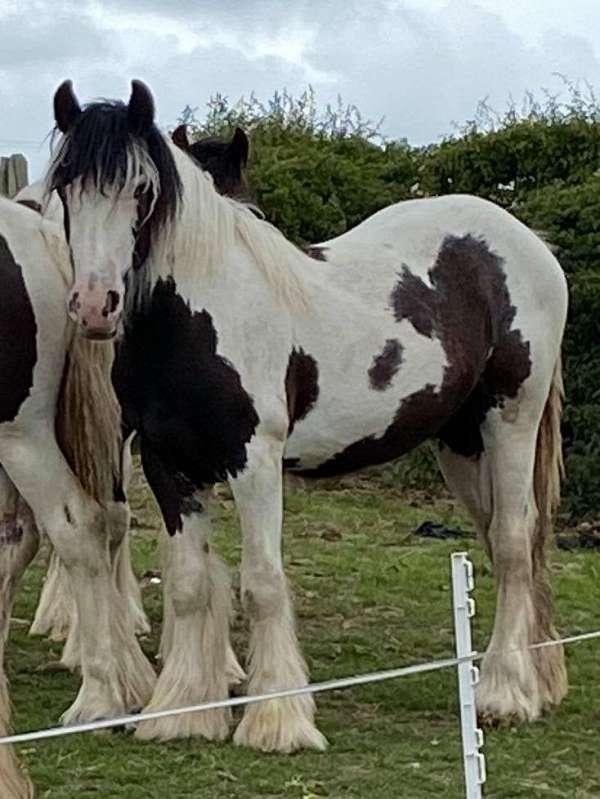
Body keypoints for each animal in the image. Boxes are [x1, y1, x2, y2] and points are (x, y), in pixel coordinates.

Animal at [47, 79, 568, 756]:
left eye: (141, 188)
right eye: (66, 187)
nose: (94, 305)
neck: (197, 317)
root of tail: (527, 243)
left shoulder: (254, 461)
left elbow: (262, 583)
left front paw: (276, 720)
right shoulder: (167, 464)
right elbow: (189, 583)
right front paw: (183, 711)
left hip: (511, 420)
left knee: (510, 542)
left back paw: (504, 693)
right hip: (459, 440)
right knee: (509, 540)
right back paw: (535, 678)